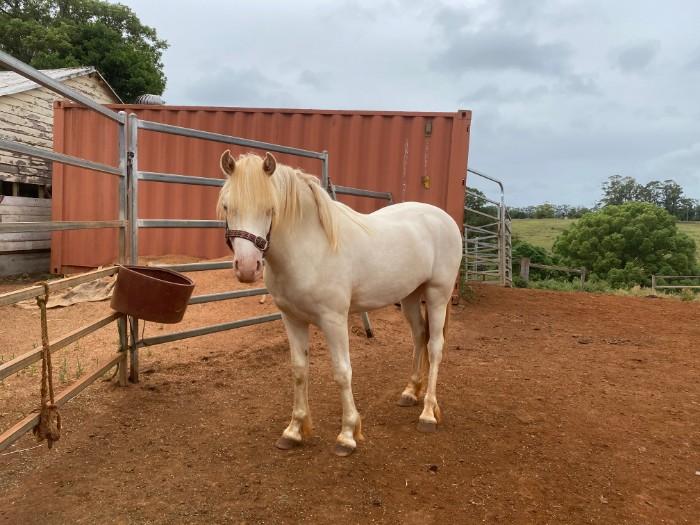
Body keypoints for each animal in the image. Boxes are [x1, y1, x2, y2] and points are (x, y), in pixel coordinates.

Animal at [216, 150, 463, 456]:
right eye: (227, 206)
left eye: (270, 209)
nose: (247, 268)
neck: (311, 247)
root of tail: (443, 218)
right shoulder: (292, 318)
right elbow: (299, 370)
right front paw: (294, 431)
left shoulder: (333, 319)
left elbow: (342, 372)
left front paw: (347, 435)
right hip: (410, 296)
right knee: (419, 337)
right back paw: (409, 392)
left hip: (439, 294)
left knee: (435, 346)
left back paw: (428, 414)